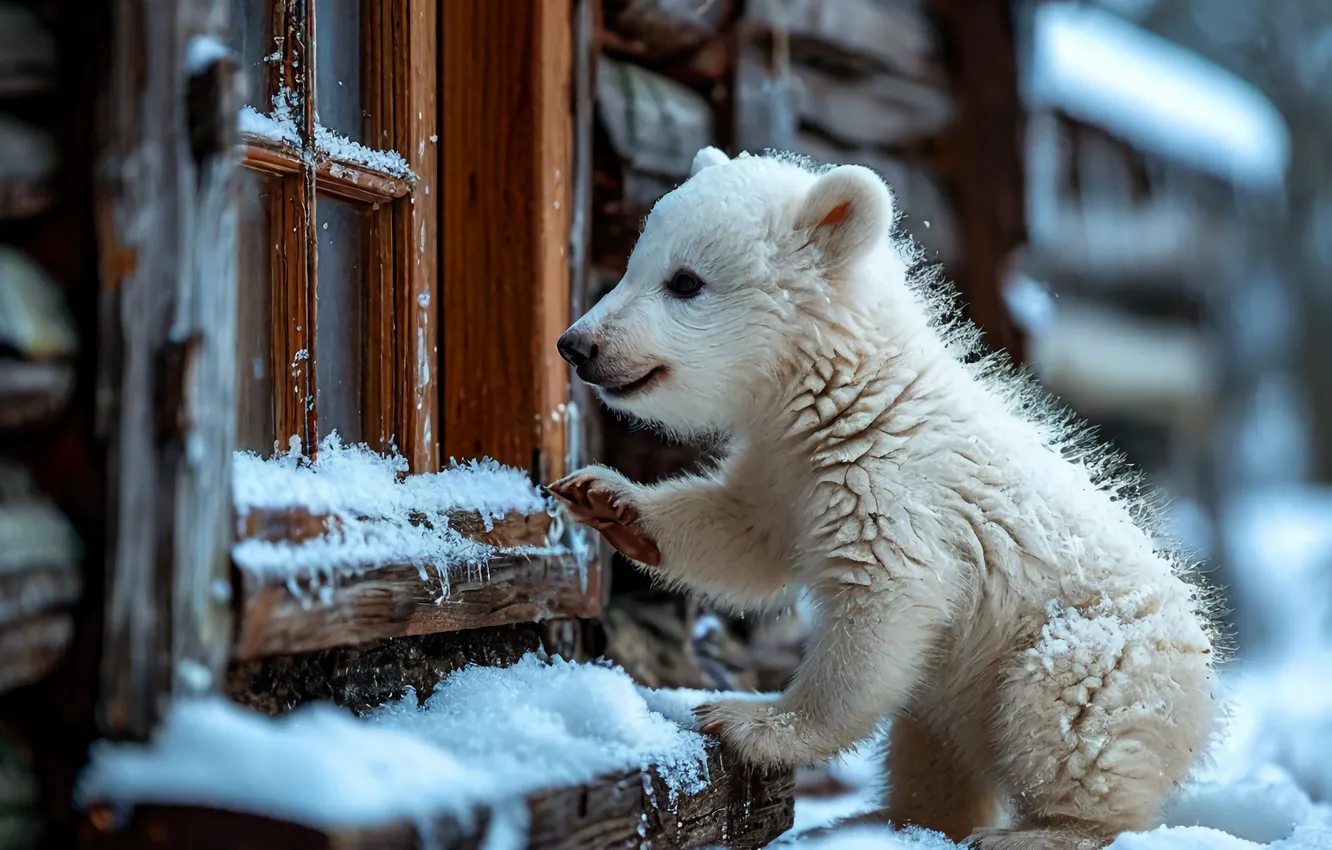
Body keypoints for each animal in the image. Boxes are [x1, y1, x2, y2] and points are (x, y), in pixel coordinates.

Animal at [545, 146, 1219, 850]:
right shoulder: (787, 469)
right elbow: (745, 534)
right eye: (633, 261)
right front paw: (606, 500)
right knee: (933, 752)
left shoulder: (892, 487)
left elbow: (884, 605)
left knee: (1068, 718)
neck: (858, 393)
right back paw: (888, 819)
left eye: (684, 281)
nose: (576, 344)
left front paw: (748, 723)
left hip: (1101, 656)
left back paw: (1040, 831)